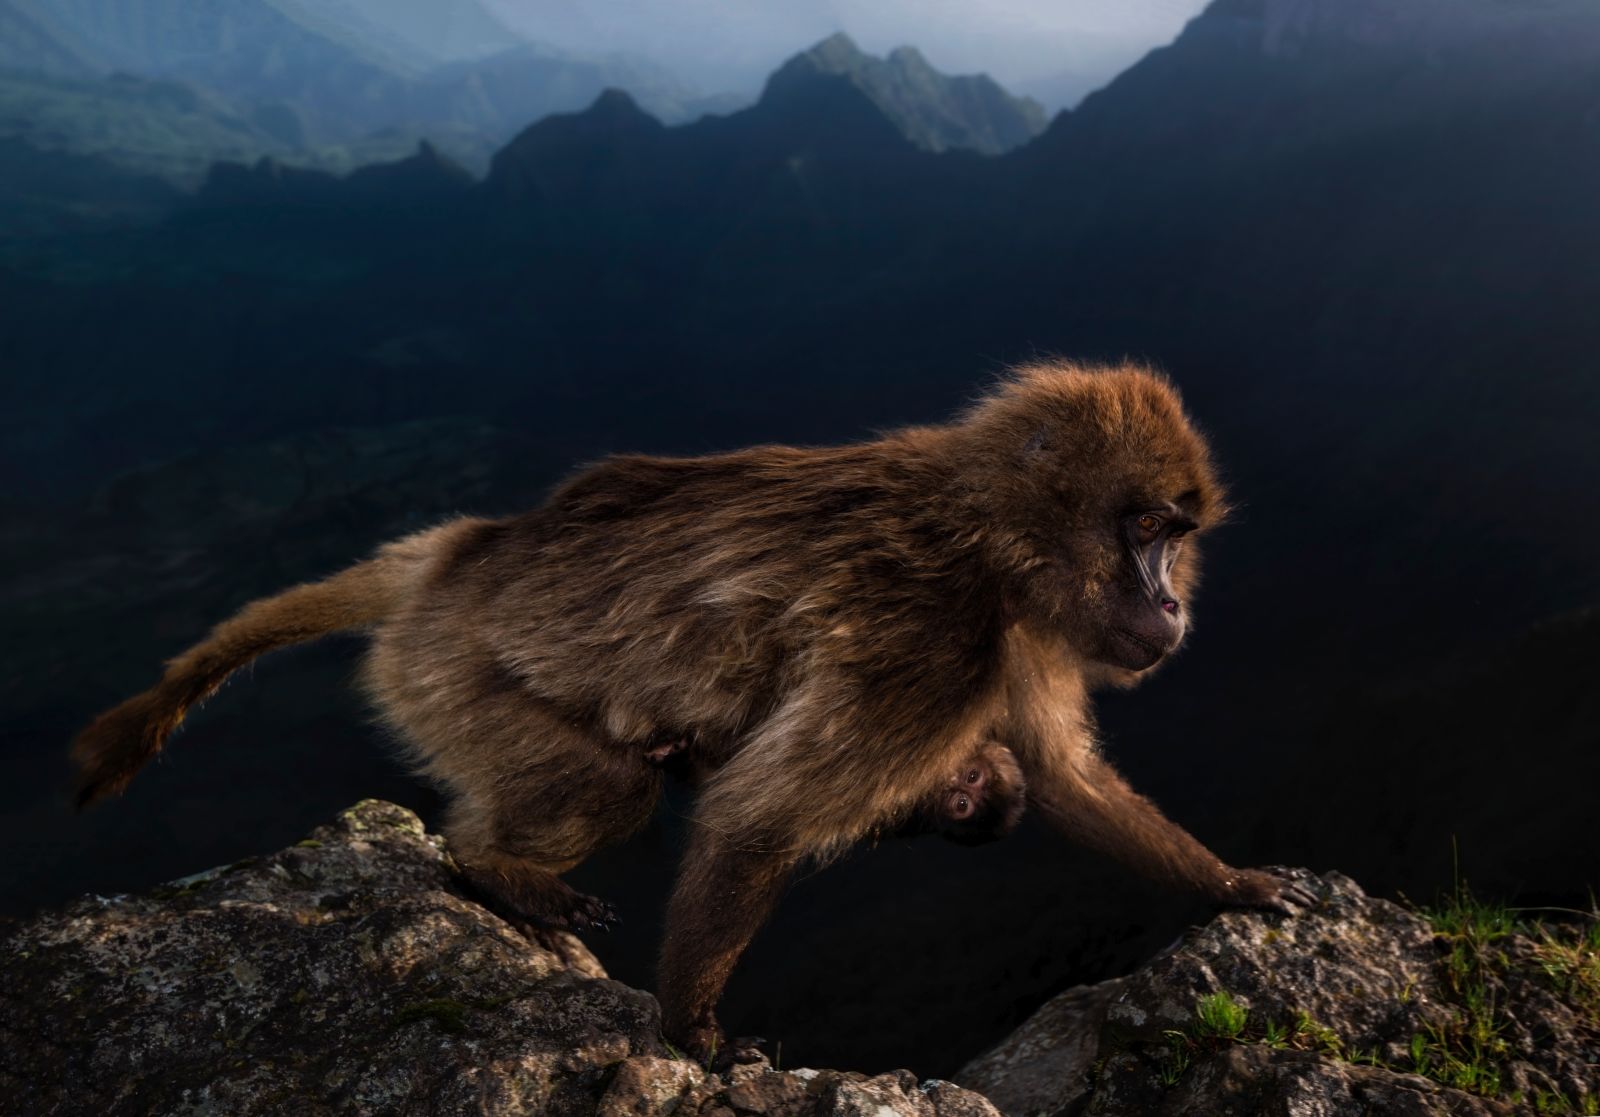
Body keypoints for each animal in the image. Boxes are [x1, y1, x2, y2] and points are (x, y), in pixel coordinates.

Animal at [71, 360, 1315, 1067]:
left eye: (1177, 536)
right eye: (1145, 529)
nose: (1170, 602)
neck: (993, 538)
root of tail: (459, 556)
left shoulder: (1016, 636)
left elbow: (1061, 781)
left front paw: (1230, 883)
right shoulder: (932, 639)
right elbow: (757, 822)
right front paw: (692, 1035)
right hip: (445, 674)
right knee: (605, 782)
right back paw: (489, 863)